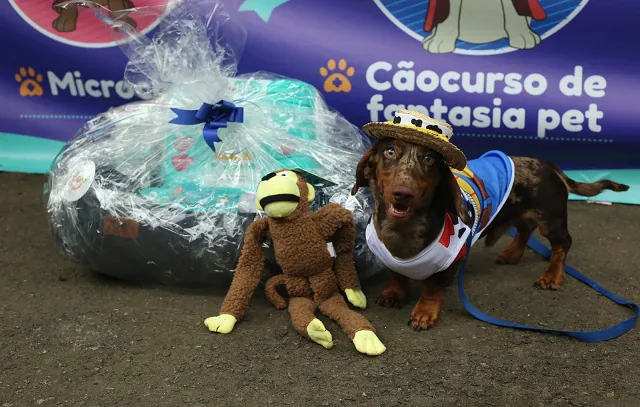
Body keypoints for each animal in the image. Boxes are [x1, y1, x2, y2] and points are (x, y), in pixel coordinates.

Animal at [356, 139, 632, 332]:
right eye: (390, 151)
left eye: (429, 159)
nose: (403, 193)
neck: (403, 229)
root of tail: (549, 165)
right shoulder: (387, 257)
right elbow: (397, 275)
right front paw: (394, 293)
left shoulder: (451, 260)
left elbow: (432, 288)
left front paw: (424, 313)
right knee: (524, 229)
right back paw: (512, 254)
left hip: (550, 220)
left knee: (562, 244)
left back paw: (552, 276)